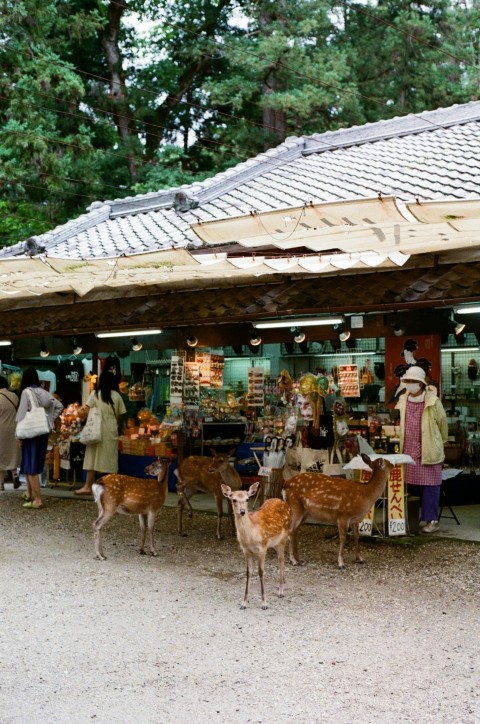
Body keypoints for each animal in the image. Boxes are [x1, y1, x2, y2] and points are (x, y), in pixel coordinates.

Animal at [221, 480, 292, 612]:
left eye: (247, 499)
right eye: (233, 499)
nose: (242, 511)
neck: (250, 537)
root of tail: (284, 502)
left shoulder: (262, 548)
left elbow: (261, 572)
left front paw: (264, 603)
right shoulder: (246, 550)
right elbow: (248, 572)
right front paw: (244, 603)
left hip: (283, 539)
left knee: (281, 561)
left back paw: (281, 591)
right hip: (275, 543)